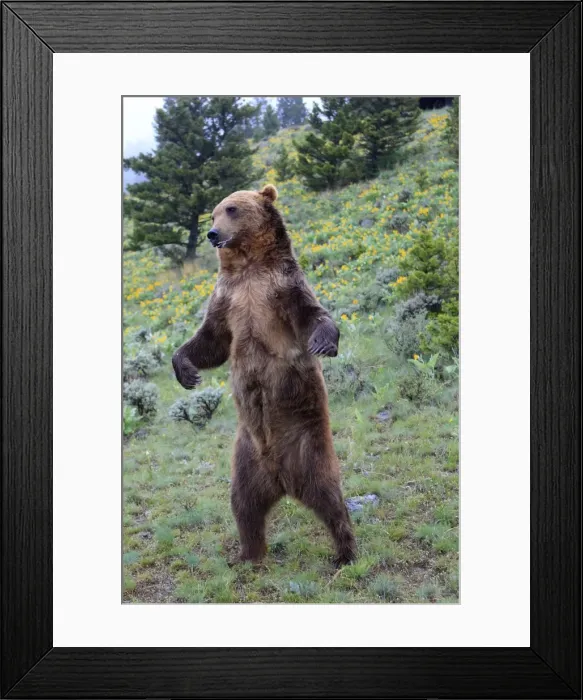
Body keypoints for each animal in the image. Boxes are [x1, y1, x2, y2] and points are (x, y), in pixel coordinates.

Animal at [172, 185, 356, 567]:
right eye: (213, 213)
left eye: (231, 209)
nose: (213, 234)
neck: (250, 267)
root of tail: (281, 479)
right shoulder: (227, 298)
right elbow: (210, 340)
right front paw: (185, 370)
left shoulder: (282, 287)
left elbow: (311, 313)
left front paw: (324, 341)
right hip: (246, 460)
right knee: (245, 507)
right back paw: (247, 555)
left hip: (308, 447)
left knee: (330, 499)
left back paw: (345, 553)